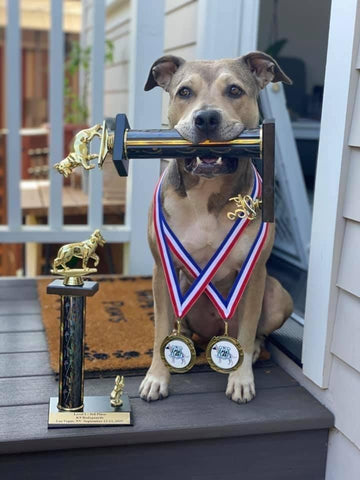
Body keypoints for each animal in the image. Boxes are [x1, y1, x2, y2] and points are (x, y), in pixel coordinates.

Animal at [139, 52, 294, 404]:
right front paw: (157, 376)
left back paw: (253, 353)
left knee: (259, 334)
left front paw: (241, 379)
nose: (206, 118)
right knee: (179, 327)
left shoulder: (255, 274)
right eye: (184, 92)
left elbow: (249, 331)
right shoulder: (161, 270)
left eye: (234, 90)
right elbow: (159, 330)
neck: (207, 193)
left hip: (279, 295)